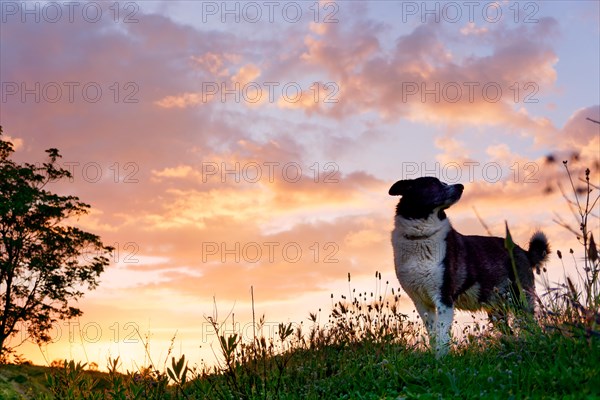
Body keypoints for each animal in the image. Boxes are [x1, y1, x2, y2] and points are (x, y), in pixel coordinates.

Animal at [390, 177, 548, 356]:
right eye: (434, 183)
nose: (461, 186)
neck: (420, 237)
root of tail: (524, 252)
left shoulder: (444, 298)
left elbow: (442, 336)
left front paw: (441, 359)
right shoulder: (421, 302)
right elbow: (433, 335)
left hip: (521, 299)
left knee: (531, 327)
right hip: (496, 309)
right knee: (510, 332)